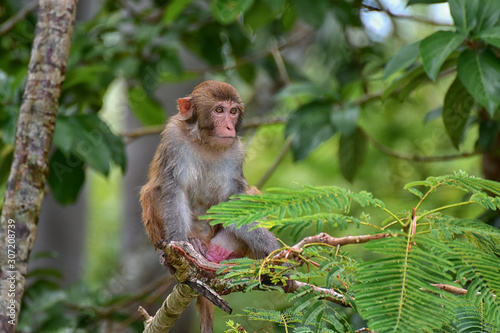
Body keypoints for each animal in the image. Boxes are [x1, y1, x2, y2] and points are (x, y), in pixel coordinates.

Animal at [140, 80, 282, 332]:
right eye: (218, 110)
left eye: (233, 111)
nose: (228, 127)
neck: (204, 140)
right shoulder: (174, 139)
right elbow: (172, 188)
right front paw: (181, 244)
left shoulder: (236, 150)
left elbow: (235, 200)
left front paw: (273, 250)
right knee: (152, 191)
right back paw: (187, 250)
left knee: (250, 194)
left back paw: (221, 252)